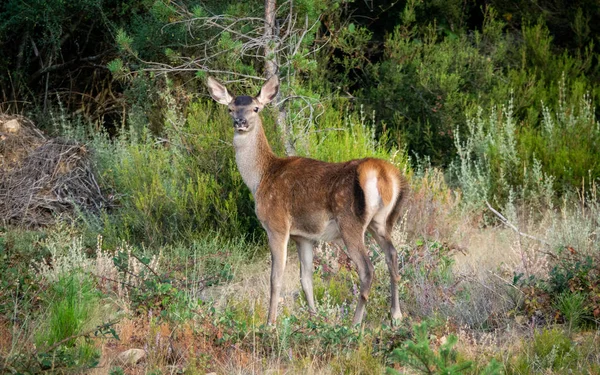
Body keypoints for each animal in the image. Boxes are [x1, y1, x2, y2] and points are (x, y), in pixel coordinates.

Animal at [206, 74, 408, 326]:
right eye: (230, 108)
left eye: (256, 108)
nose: (240, 121)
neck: (260, 179)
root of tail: (381, 172)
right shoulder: (303, 237)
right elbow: (306, 279)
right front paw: (315, 318)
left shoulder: (277, 225)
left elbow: (276, 278)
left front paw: (270, 323)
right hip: (381, 221)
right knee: (392, 256)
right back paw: (396, 315)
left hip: (350, 221)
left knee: (367, 269)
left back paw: (355, 323)